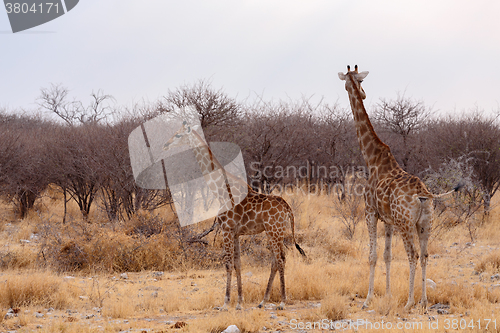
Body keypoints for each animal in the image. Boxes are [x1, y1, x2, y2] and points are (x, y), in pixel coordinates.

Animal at [164, 120, 304, 310]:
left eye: (178, 135)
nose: (166, 144)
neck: (219, 190)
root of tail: (288, 208)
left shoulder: (226, 229)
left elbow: (228, 264)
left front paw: (225, 303)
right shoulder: (236, 232)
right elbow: (238, 264)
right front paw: (239, 302)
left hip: (274, 231)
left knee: (280, 259)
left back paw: (282, 301)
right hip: (273, 232)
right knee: (276, 260)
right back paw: (263, 301)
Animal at [338, 65, 462, 308]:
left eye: (351, 82)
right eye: (360, 81)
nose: (363, 93)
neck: (372, 159)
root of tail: (424, 193)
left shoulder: (370, 212)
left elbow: (373, 256)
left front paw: (368, 299)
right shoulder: (388, 220)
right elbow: (387, 256)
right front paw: (387, 294)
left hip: (406, 224)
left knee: (413, 255)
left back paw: (409, 302)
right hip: (425, 224)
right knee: (425, 255)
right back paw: (423, 301)